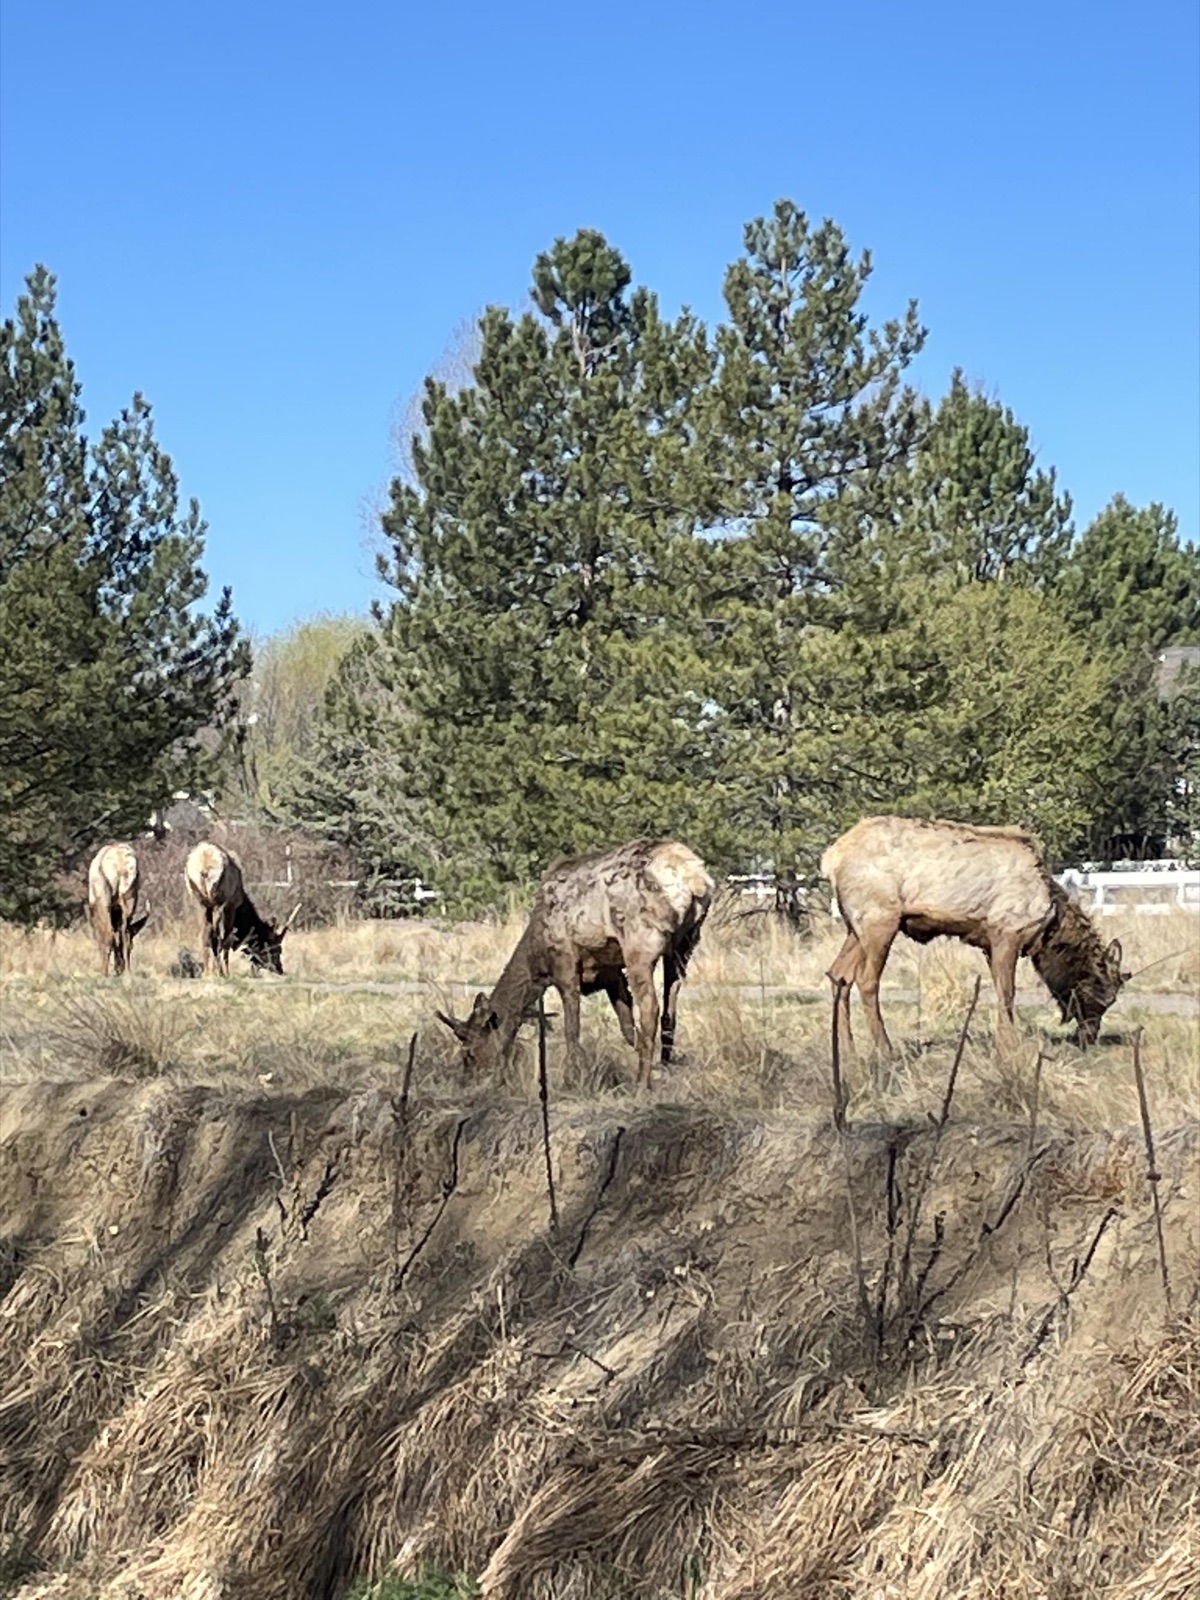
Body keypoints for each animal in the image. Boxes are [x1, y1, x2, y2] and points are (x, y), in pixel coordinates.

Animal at [87, 843, 149, 975]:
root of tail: (120, 863)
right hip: (129, 898)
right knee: (125, 934)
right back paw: (127, 971)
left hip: (105, 902)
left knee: (109, 935)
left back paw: (106, 973)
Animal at [184, 842, 299, 976]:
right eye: (276, 949)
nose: (280, 969)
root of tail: (204, 869)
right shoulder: (231, 906)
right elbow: (226, 939)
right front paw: (226, 972)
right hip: (219, 902)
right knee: (217, 937)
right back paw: (220, 971)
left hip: (199, 901)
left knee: (205, 935)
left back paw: (208, 972)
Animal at [438, 838, 714, 1089]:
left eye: (470, 1053)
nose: (467, 1081)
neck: (537, 962)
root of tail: (695, 878)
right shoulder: (611, 974)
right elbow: (626, 1026)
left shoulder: (565, 964)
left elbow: (572, 1027)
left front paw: (572, 1078)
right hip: (684, 945)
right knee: (670, 1009)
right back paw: (663, 1064)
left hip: (640, 946)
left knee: (651, 1010)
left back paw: (641, 1083)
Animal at [822, 815, 1129, 1055]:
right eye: (1101, 996)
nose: (1088, 1038)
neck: (1050, 926)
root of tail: (832, 858)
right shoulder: (1006, 933)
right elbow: (1007, 993)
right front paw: (1009, 1046)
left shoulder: (990, 944)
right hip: (880, 920)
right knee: (866, 980)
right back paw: (885, 1051)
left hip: (855, 927)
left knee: (839, 975)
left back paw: (846, 1051)